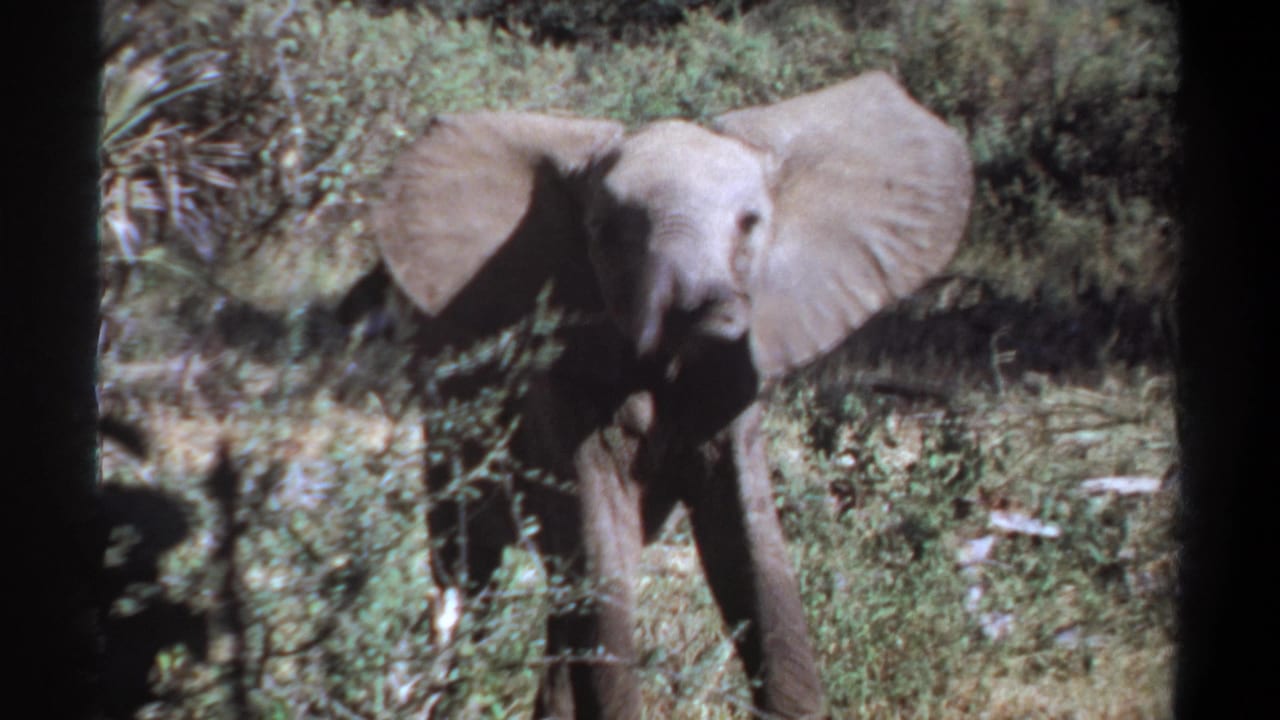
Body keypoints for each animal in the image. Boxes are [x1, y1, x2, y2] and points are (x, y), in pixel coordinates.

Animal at [369, 71, 973, 718]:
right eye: (605, 233)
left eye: (751, 222)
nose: (706, 312)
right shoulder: (562, 381)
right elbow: (604, 551)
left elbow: (749, 545)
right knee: (470, 562)